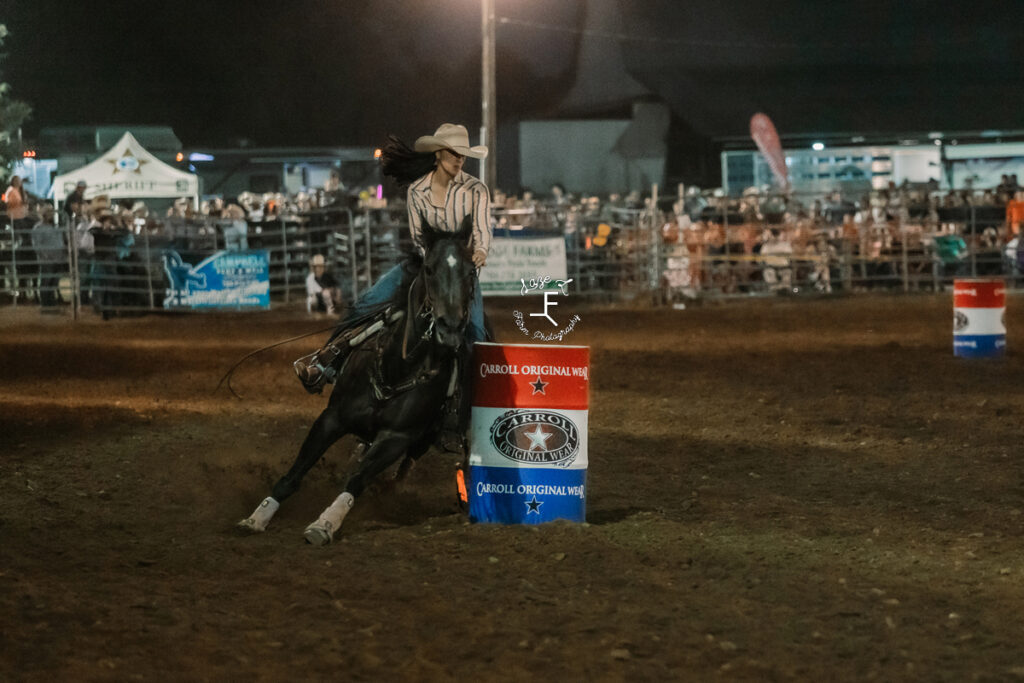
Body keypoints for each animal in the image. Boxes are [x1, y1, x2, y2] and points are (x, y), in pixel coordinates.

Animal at [238, 216, 479, 540]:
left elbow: (357, 479)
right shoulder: (332, 418)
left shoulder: (396, 438)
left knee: (402, 468)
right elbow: (295, 473)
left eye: (471, 271)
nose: (449, 328)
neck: (397, 367)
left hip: (425, 439)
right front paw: (257, 517)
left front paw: (325, 523)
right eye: (429, 268)